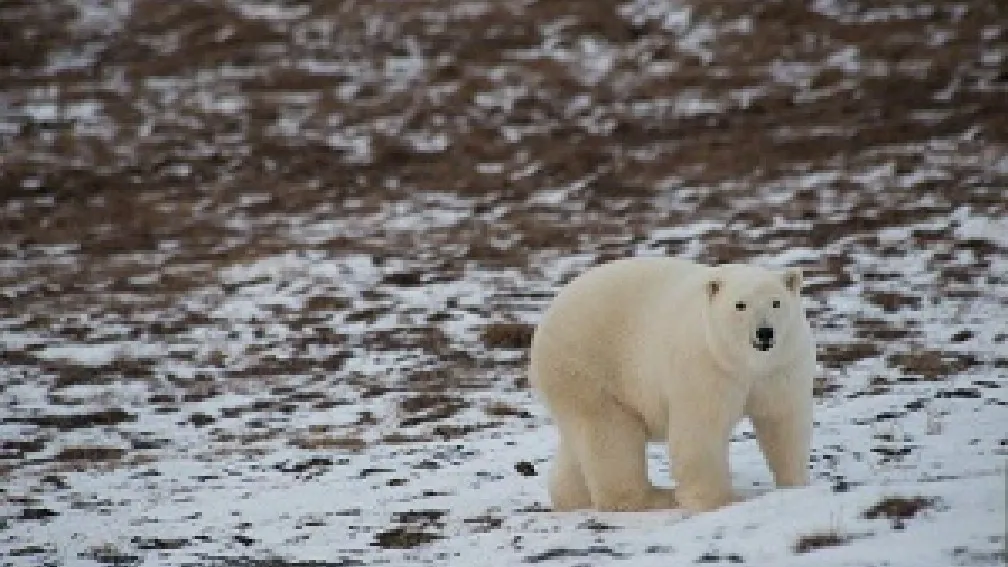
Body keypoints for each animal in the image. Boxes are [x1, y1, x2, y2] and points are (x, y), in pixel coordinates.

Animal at [532, 257, 814, 512]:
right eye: (740, 305)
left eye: (776, 302)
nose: (764, 332)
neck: (744, 363)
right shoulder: (704, 365)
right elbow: (700, 431)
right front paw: (719, 501)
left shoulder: (780, 368)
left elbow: (782, 421)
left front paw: (795, 483)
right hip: (588, 368)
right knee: (610, 434)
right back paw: (654, 497)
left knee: (577, 443)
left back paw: (570, 498)